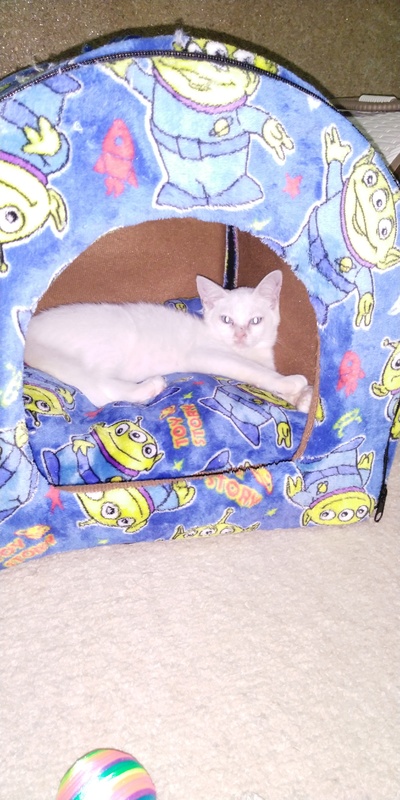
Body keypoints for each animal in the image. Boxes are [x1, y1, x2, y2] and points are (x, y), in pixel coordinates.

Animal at [24, 271, 312, 412]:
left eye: (255, 321)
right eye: (226, 320)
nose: (240, 335)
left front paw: (301, 398)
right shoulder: (206, 354)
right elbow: (253, 371)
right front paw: (292, 383)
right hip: (113, 338)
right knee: (101, 384)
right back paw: (148, 387)